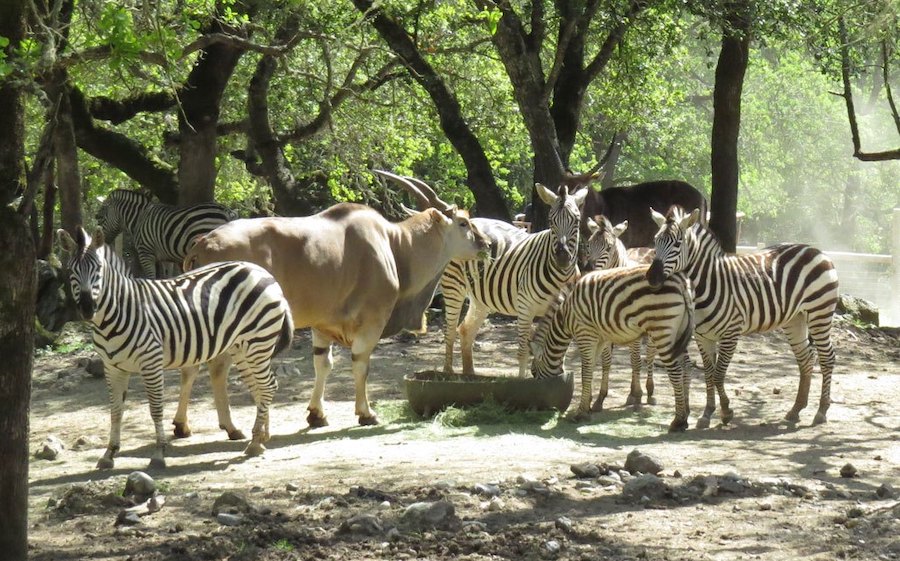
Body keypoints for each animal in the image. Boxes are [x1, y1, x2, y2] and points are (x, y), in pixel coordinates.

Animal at [56, 226, 294, 468]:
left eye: (99, 269)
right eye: (71, 271)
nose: (87, 309)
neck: (119, 313)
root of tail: (259, 270)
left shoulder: (151, 362)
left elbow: (155, 409)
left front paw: (159, 453)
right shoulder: (112, 367)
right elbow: (115, 411)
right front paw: (109, 453)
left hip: (259, 341)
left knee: (268, 386)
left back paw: (255, 442)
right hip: (242, 347)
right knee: (260, 386)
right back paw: (262, 436)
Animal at [96, 188, 237, 278]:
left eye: (100, 217)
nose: (103, 242)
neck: (139, 218)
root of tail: (227, 211)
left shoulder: (146, 253)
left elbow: (151, 278)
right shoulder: (166, 257)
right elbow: (165, 277)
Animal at [440, 184, 588, 376]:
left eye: (576, 221)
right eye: (551, 221)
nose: (562, 258)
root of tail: (471, 220)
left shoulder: (563, 308)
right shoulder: (525, 308)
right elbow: (523, 351)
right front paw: (521, 380)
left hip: (481, 298)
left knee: (466, 330)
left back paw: (469, 375)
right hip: (453, 286)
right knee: (450, 331)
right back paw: (447, 372)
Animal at [528, 264, 696, 430]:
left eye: (533, 372)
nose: (539, 409)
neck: (565, 315)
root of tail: (681, 281)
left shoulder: (585, 333)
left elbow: (585, 372)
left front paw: (581, 413)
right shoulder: (600, 338)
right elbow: (593, 368)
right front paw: (589, 404)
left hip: (661, 331)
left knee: (675, 371)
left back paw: (678, 421)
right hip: (678, 333)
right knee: (686, 365)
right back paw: (686, 412)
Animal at [648, 207, 836, 428]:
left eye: (677, 243)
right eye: (655, 241)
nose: (651, 277)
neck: (708, 282)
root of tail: (816, 250)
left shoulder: (731, 334)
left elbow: (719, 375)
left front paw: (726, 412)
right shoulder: (703, 337)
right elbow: (709, 374)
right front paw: (707, 413)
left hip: (820, 313)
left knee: (827, 358)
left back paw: (821, 411)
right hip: (795, 320)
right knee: (805, 359)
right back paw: (796, 410)